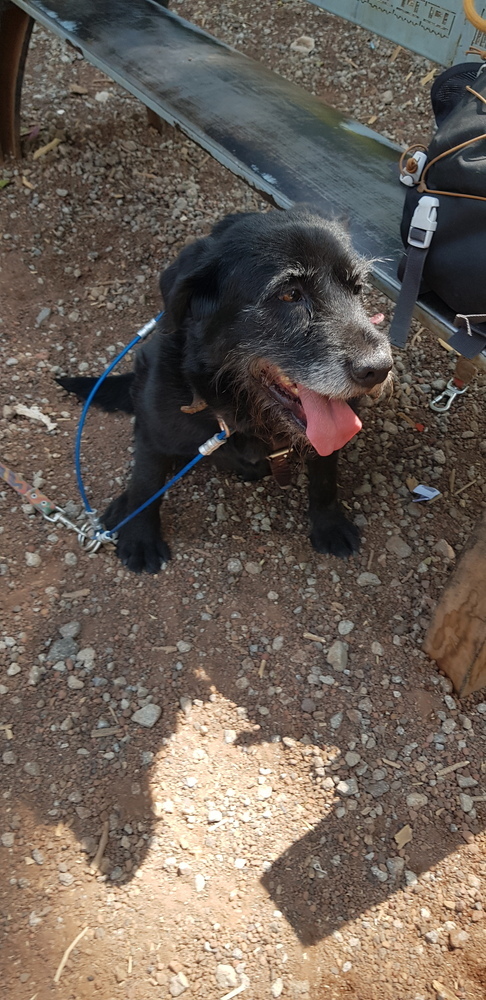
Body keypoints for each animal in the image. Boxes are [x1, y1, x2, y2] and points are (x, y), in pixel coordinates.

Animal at [58, 207, 392, 576]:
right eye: (289, 294)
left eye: (357, 288)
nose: (380, 368)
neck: (237, 409)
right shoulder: (156, 432)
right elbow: (146, 481)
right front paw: (140, 537)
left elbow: (325, 476)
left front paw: (328, 523)